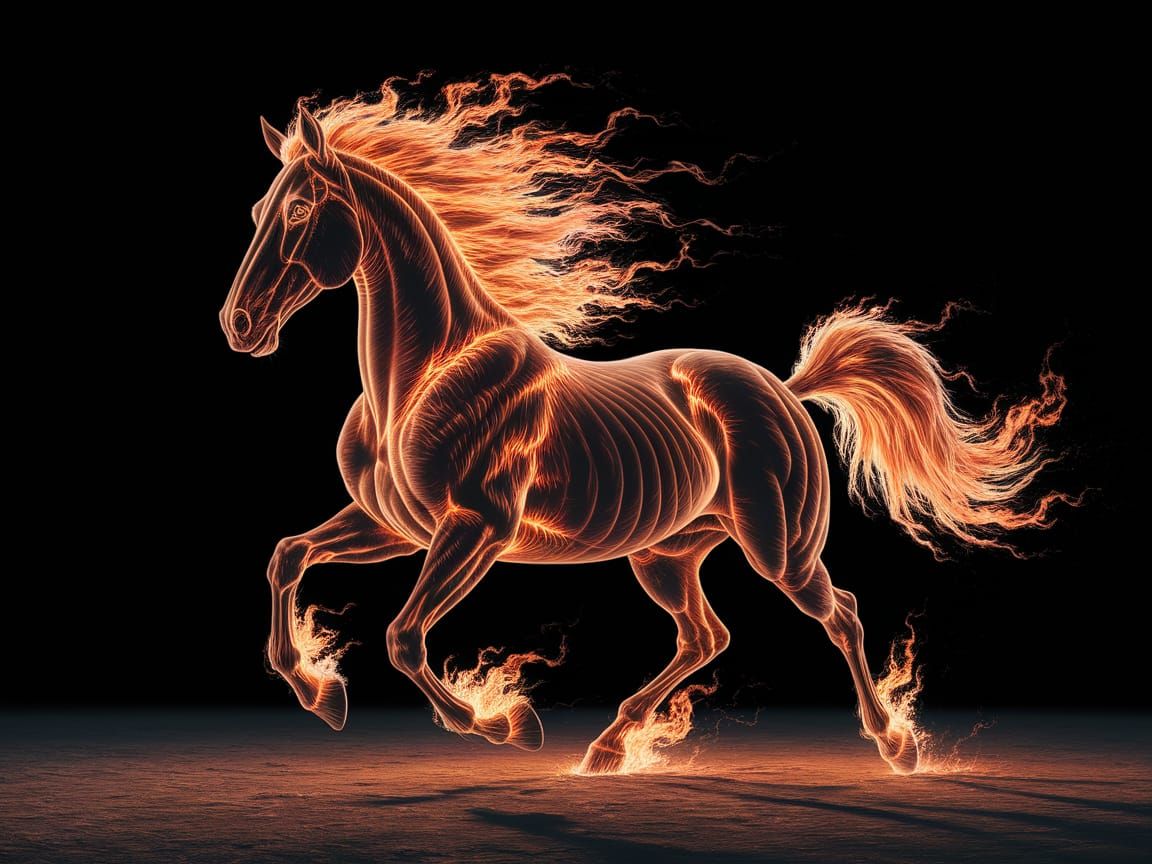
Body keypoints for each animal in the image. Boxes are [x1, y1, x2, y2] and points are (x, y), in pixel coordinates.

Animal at [220, 89, 1065, 776]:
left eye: (298, 213)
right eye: (257, 213)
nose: (239, 326)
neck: (427, 376)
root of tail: (785, 392)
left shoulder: (476, 530)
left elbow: (403, 636)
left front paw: (506, 724)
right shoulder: (397, 526)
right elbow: (287, 556)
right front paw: (320, 692)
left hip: (777, 547)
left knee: (840, 612)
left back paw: (896, 747)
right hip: (668, 552)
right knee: (705, 636)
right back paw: (605, 748)